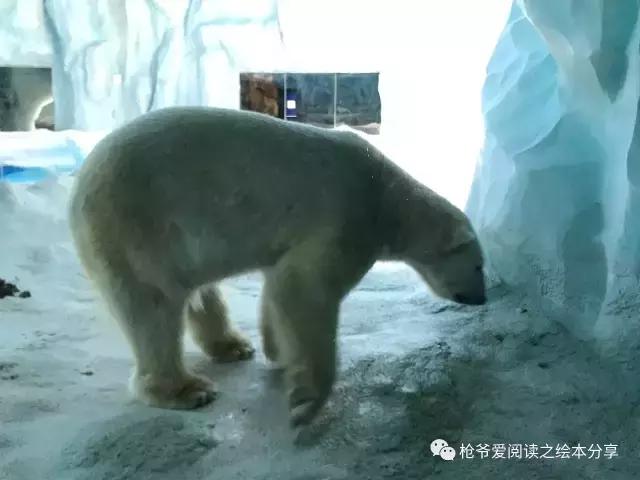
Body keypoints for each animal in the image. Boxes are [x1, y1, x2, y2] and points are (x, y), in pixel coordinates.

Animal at [68, 106, 486, 426]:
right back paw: (186, 389)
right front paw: (307, 399)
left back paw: (233, 345)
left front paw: (277, 350)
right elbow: (305, 290)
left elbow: (280, 283)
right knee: (152, 308)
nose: (482, 298)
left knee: (198, 292)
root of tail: (78, 189)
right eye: (482, 266)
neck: (388, 197)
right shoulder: (348, 217)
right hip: (136, 227)